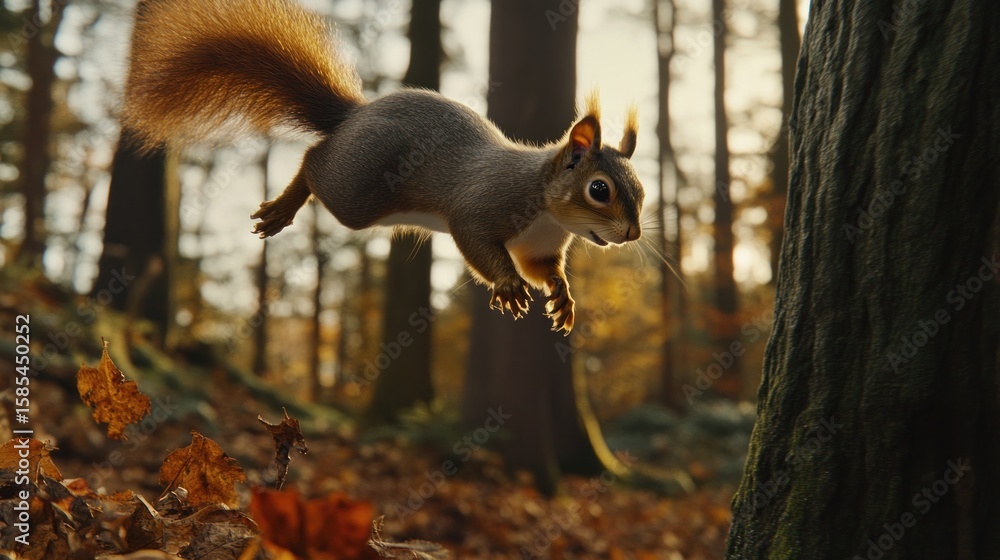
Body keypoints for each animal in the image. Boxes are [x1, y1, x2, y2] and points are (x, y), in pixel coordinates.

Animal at [121, 0, 645, 334]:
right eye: (599, 190)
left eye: (641, 192)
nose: (633, 234)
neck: (548, 211)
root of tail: (352, 116)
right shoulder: (483, 204)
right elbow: (479, 245)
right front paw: (509, 286)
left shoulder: (539, 247)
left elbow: (544, 270)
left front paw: (563, 297)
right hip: (356, 191)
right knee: (313, 162)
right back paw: (285, 205)